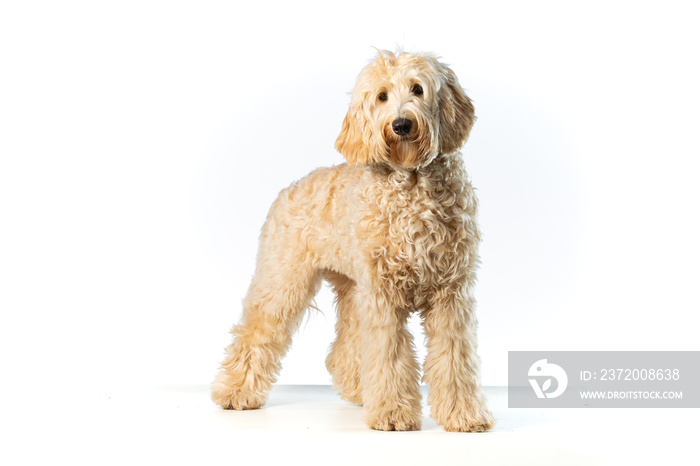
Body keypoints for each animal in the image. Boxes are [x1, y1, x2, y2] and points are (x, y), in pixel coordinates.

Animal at [211, 51, 494, 434]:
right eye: (382, 96)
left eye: (418, 89)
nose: (401, 124)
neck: (412, 186)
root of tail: (290, 187)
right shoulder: (382, 295)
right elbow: (389, 353)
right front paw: (392, 413)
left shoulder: (451, 293)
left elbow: (455, 357)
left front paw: (463, 415)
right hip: (283, 281)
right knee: (256, 331)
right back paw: (235, 391)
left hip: (352, 287)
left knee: (343, 347)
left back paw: (358, 390)